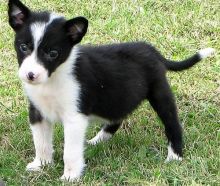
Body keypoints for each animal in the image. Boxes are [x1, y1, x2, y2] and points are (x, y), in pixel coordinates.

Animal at [7, 0, 214, 182]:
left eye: (53, 53)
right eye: (23, 47)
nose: (30, 75)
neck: (54, 77)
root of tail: (153, 51)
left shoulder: (74, 118)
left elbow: (70, 152)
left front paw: (70, 176)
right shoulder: (37, 113)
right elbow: (41, 143)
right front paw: (41, 165)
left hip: (159, 93)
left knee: (172, 123)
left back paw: (175, 156)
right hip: (117, 97)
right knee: (117, 118)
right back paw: (98, 140)